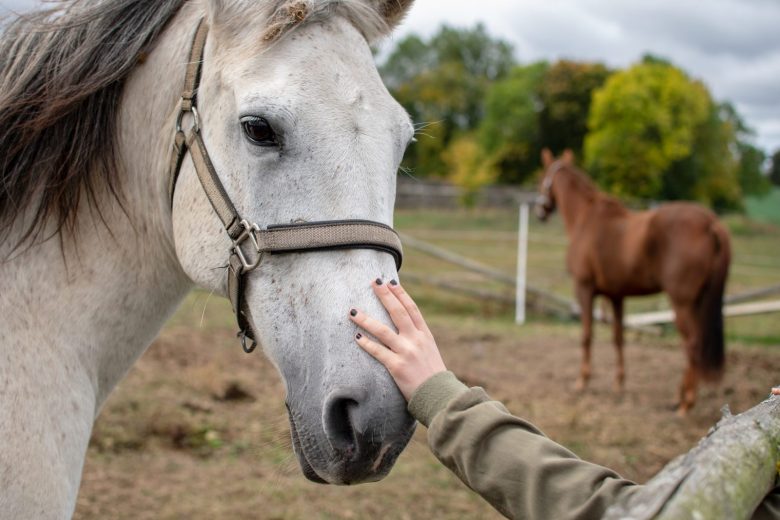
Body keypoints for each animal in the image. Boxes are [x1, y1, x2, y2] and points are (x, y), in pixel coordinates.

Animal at [535, 149, 731, 416]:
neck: (585, 219)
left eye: (542, 177)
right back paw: (680, 396)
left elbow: (587, 334)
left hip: (682, 303)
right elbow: (619, 337)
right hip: (699, 302)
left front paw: (582, 381)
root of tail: (710, 223)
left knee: (692, 344)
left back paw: (685, 403)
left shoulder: (584, 289)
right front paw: (618, 383)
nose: (540, 211)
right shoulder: (616, 296)